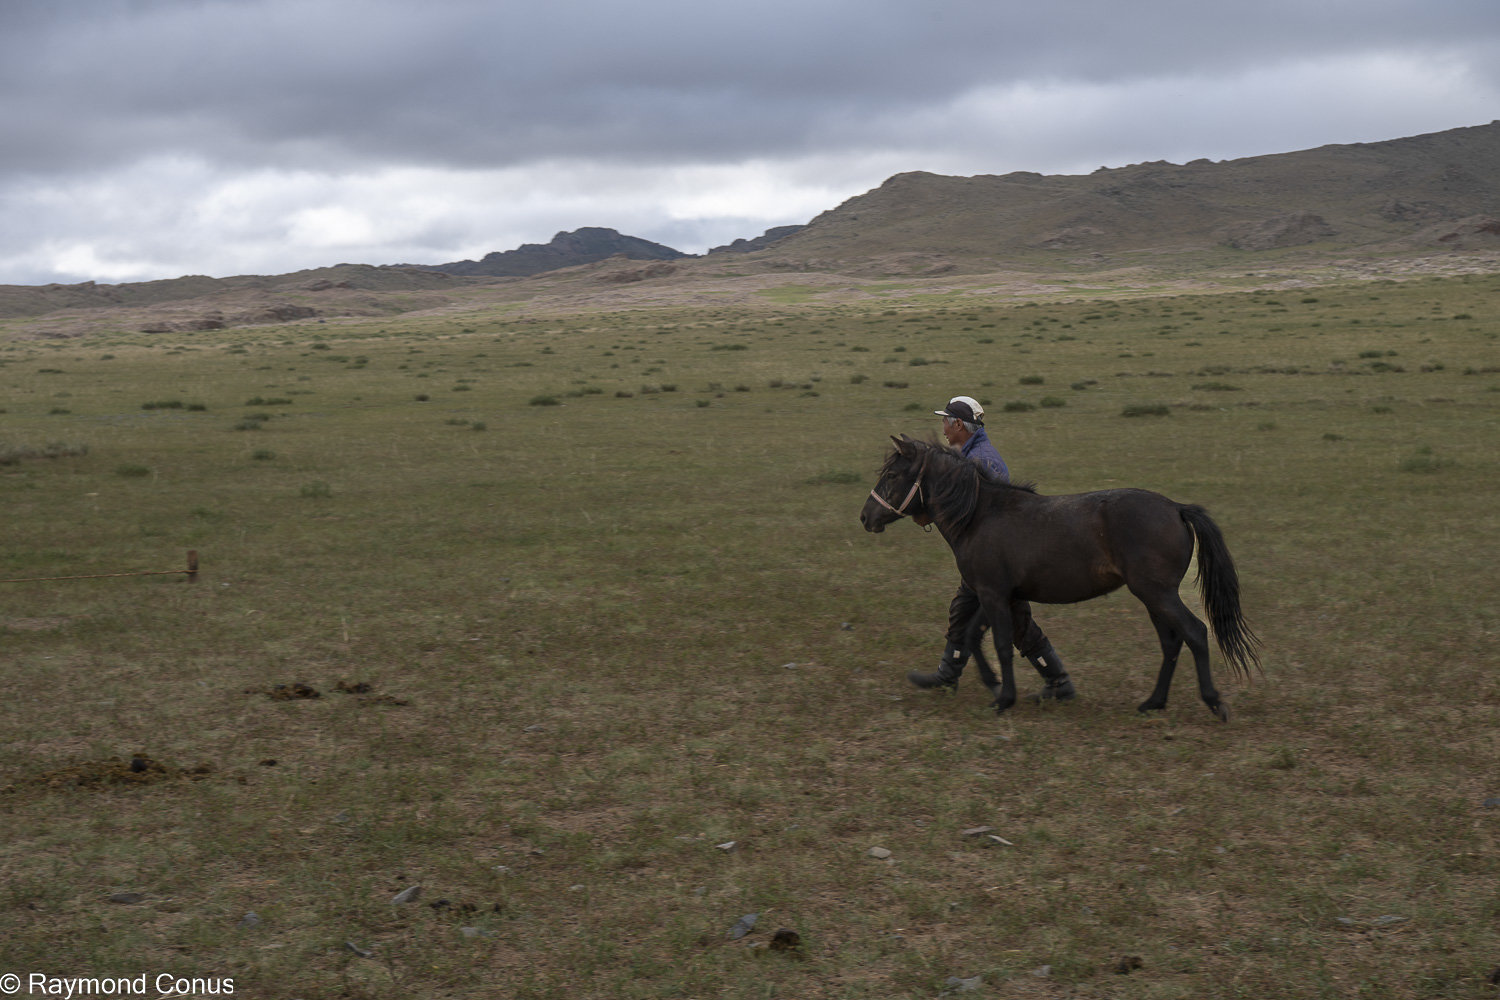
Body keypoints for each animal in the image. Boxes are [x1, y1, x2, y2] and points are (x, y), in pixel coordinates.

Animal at [860, 435, 1260, 720]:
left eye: (892, 475)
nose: (866, 517)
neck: (979, 515)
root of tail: (1177, 508)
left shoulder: (992, 594)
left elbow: (1000, 643)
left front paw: (1003, 699)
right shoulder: (997, 595)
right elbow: (973, 637)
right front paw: (991, 685)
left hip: (1158, 594)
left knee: (1195, 633)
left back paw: (1213, 702)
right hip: (1152, 597)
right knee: (1171, 643)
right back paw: (1153, 703)